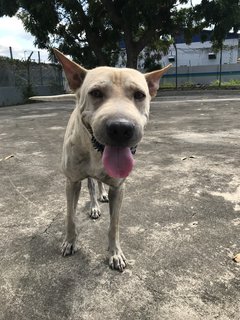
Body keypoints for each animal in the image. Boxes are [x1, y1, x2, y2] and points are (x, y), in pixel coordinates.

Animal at [32, 48, 171, 272]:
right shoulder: (71, 182)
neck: (96, 152)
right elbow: (70, 216)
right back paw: (95, 205)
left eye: (139, 95)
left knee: (98, 182)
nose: (121, 128)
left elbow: (114, 225)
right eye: (96, 93)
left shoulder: (119, 188)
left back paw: (102, 194)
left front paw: (115, 253)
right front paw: (69, 241)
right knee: (91, 185)